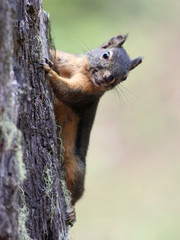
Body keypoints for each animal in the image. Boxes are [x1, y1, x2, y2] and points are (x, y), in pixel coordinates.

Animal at [43, 34, 142, 226]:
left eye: (125, 77)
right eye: (106, 55)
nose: (108, 78)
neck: (83, 70)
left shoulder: (85, 92)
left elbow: (67, 91)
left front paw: (50, 73)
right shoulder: (69, 61)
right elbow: (58, 57)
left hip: (76, 168)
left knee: (75, 194)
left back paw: (72, 212)